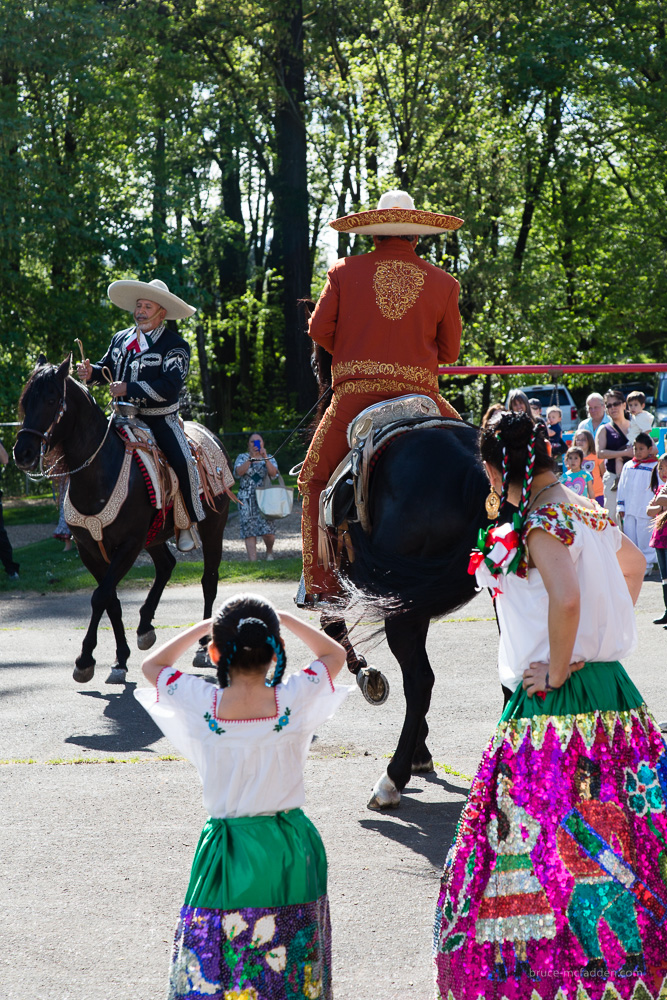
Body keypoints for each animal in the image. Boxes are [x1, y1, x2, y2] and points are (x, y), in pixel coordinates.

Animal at [13, 360, 232, 688]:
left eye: (51, 400)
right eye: (25, 401)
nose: (22, 452)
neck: (99, 473)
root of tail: (211, 436)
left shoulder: (127, 546)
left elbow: (100, 596)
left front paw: (84, 660)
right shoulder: (90, 549)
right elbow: (111, 600)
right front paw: (119, 660)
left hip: (212, 528)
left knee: (209, 580)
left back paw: (203, 647)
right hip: (153, 537)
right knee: (166, 565)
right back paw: (144, 627)